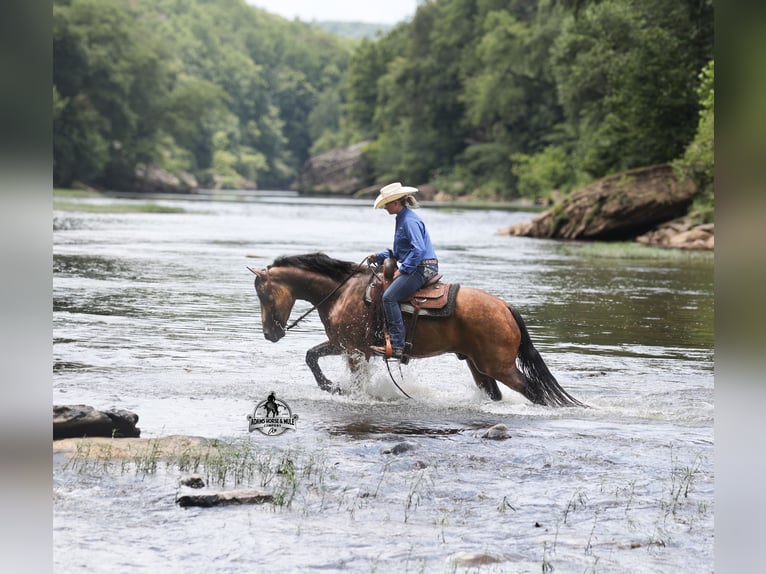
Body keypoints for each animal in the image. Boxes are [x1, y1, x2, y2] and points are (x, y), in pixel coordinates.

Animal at [249, 252, 584, 407]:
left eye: (263, 294)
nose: (269, 334)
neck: (341, 291)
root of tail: (505, 307)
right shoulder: (343, 344)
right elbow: (311, 356)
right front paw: (331, 386)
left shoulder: (355, 350)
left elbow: (350, 377)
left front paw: (339, 389)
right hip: (478, 366)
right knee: (496, 394)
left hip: (499, 366)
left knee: (534, 391)